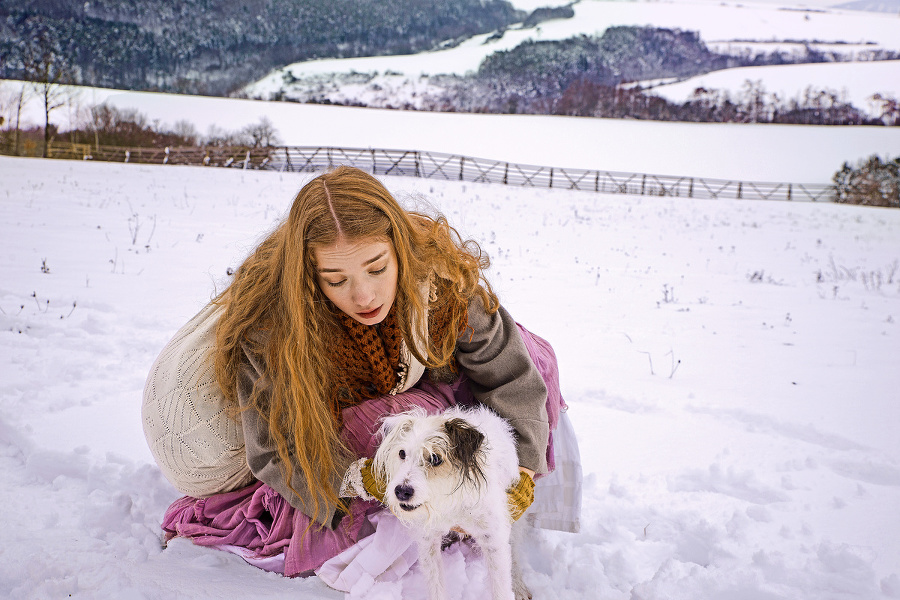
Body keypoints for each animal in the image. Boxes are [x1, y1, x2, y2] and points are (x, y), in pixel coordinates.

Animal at [370, 404, 528, 600]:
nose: (401, 491)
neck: (449, 500)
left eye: (435, 458)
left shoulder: (493, 537)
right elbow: (435, 583)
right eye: (402, 453)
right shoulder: (428, 540)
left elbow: (501, 586)